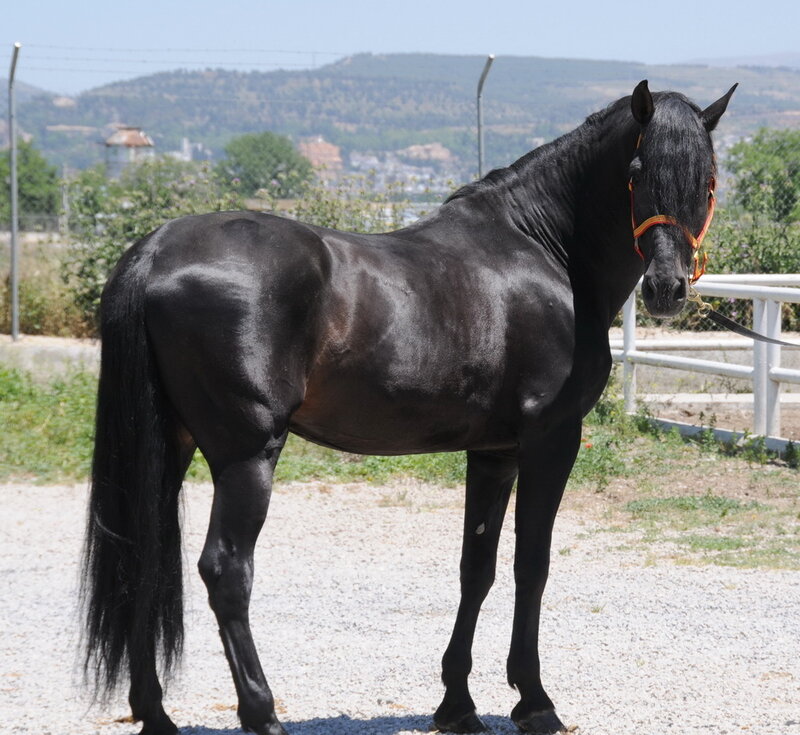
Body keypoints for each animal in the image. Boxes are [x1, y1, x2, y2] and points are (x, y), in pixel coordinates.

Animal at [82, 80, 736, 735]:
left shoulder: (494, 453)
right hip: (246, 455)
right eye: (636, 172)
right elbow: (532, 564)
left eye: (707, 180)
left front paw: (458, 705)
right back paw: (263, 714)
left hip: (170, 446)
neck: (546, 252)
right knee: (226, 571)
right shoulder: (551, 440)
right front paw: (535, 701)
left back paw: (155, 713)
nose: (667, 288)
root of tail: (155, 251)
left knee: (143, 556)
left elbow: (478, 566)